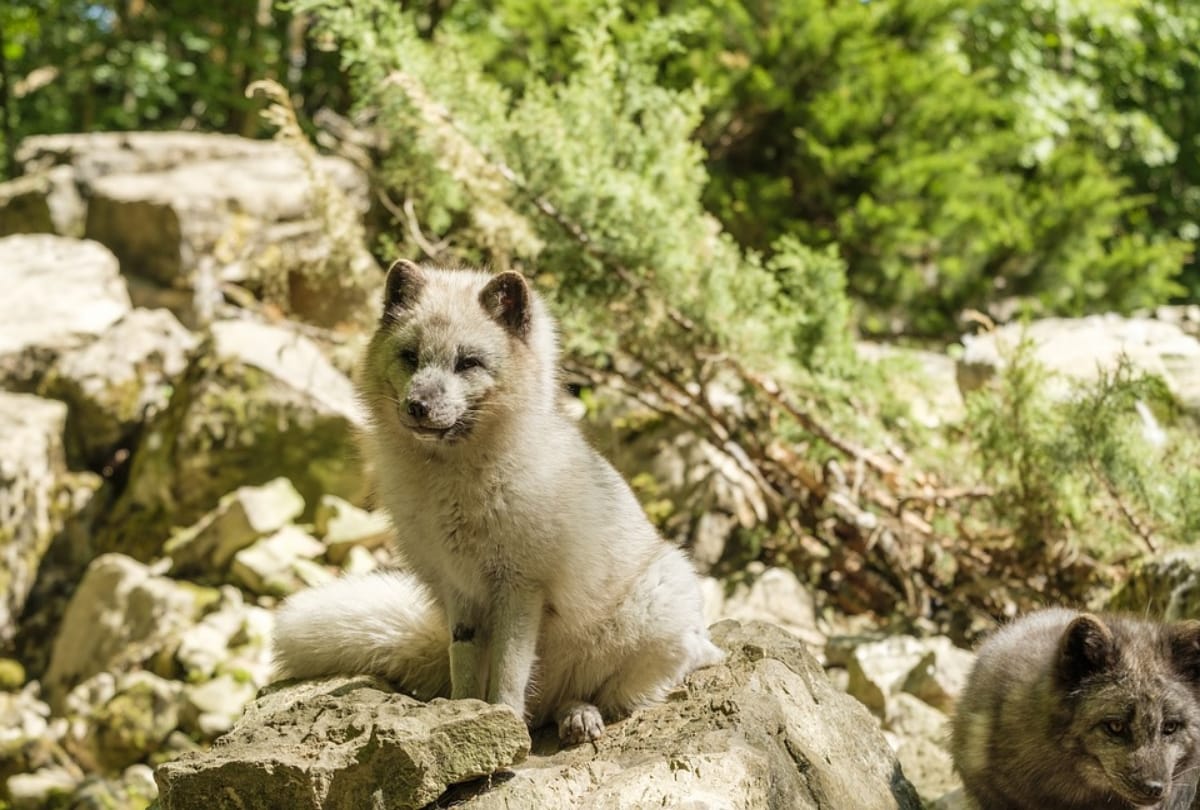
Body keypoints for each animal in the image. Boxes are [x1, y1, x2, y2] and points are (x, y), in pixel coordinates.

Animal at [272, 260, 723, 745]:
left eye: (467, 362)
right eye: (410, 356)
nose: (417, 406)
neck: (449, 482)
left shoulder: (521, 586)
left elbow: (510, 670)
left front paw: (502, 719)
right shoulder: (459, 588)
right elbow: (466, 663)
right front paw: (463, 712)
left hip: (658, 611)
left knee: (611, 694)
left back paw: (581, 715)